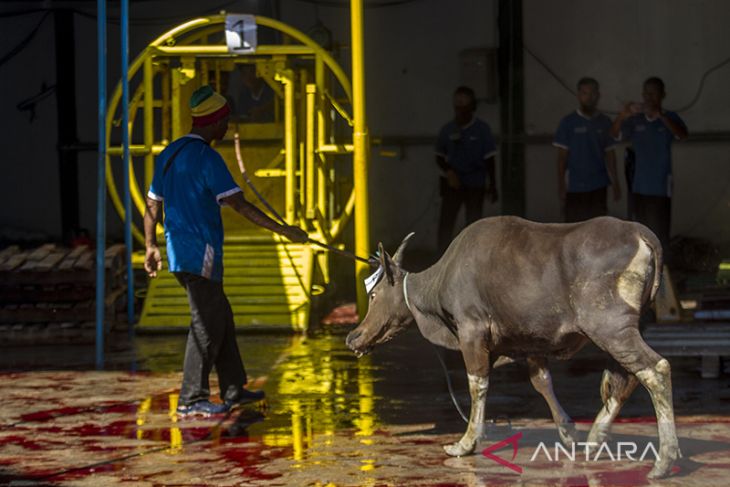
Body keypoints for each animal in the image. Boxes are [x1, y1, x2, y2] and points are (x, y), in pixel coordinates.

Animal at [344, 216, 680, 480]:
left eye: (373, 295)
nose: (353, 336)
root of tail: (642, 234)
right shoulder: (530, 341)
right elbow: (541, 381)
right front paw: (568, 432)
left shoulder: (472, 332)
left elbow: (477, 384)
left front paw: (466, 442)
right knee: (626, 379)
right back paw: (596, 438)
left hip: (610, 327)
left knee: (655, 369)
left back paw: (663, 460)